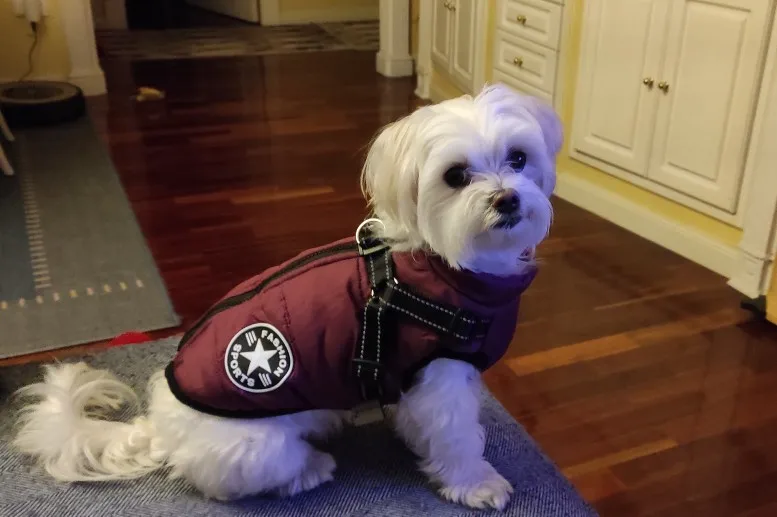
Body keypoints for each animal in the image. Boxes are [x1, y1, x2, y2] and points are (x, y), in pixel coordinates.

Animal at [13, 84, 561, 511]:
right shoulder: (440, 377)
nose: (507, 198)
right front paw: (477, 484)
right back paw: (310, 468)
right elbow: (458, 437)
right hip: (260, 447)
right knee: (229, 483)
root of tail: (160, 425)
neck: (441, 265)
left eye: (518, 157)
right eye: (455, 176)